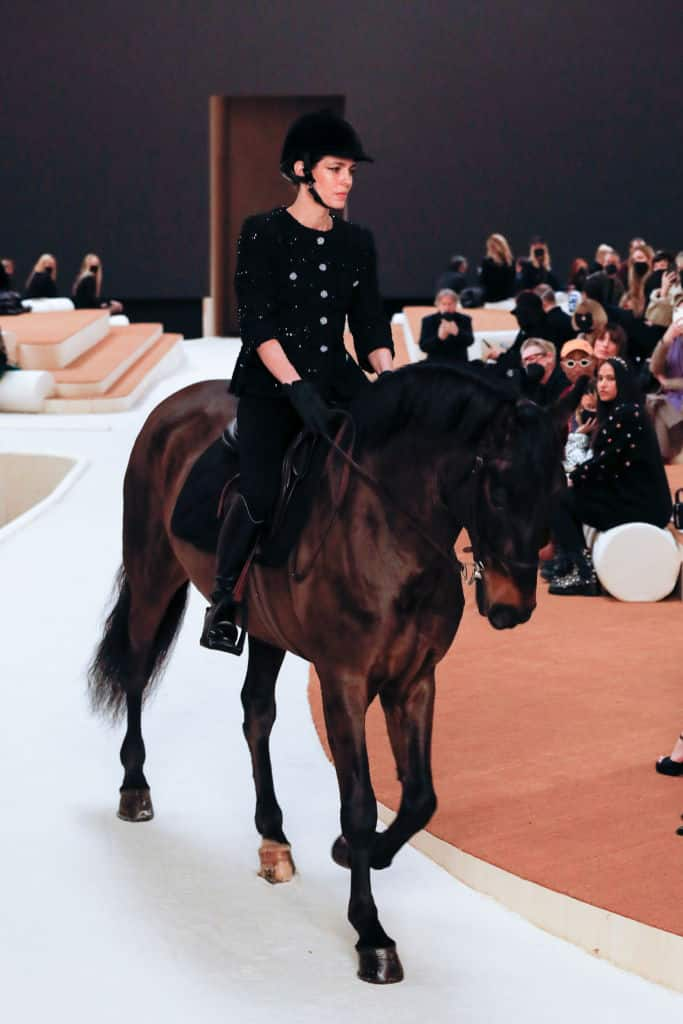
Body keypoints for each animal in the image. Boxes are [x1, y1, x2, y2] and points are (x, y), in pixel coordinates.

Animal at [88, 366, 565, 983]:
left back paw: (273, 838)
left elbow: (420, 798)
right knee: (137, 673)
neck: (388, 532)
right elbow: (359, 805)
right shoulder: (344, 682)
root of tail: (171, 405)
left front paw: (360, 853)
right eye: (501, 491)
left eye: (557, 488)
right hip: (152, 574)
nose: (513, 607)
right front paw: (371, 935)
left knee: (257, 714)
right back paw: (134, 787)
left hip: (264, 629)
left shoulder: (414, 680)